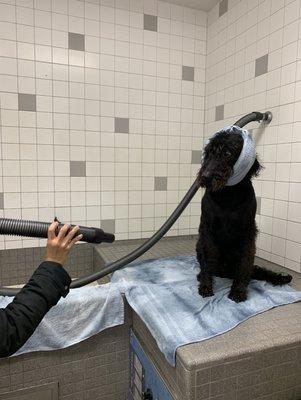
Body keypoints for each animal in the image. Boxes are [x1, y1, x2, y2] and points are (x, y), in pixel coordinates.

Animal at [195, 129, 290, 304]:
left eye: (227, 153)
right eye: (209, 152)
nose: (205, 176)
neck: (228, 195)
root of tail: (225, 271)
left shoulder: (248, 231)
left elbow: (245, 262)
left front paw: (238, 290)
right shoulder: (206, 229)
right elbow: (206, 259)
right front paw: (205, 285)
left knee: (253, 270)